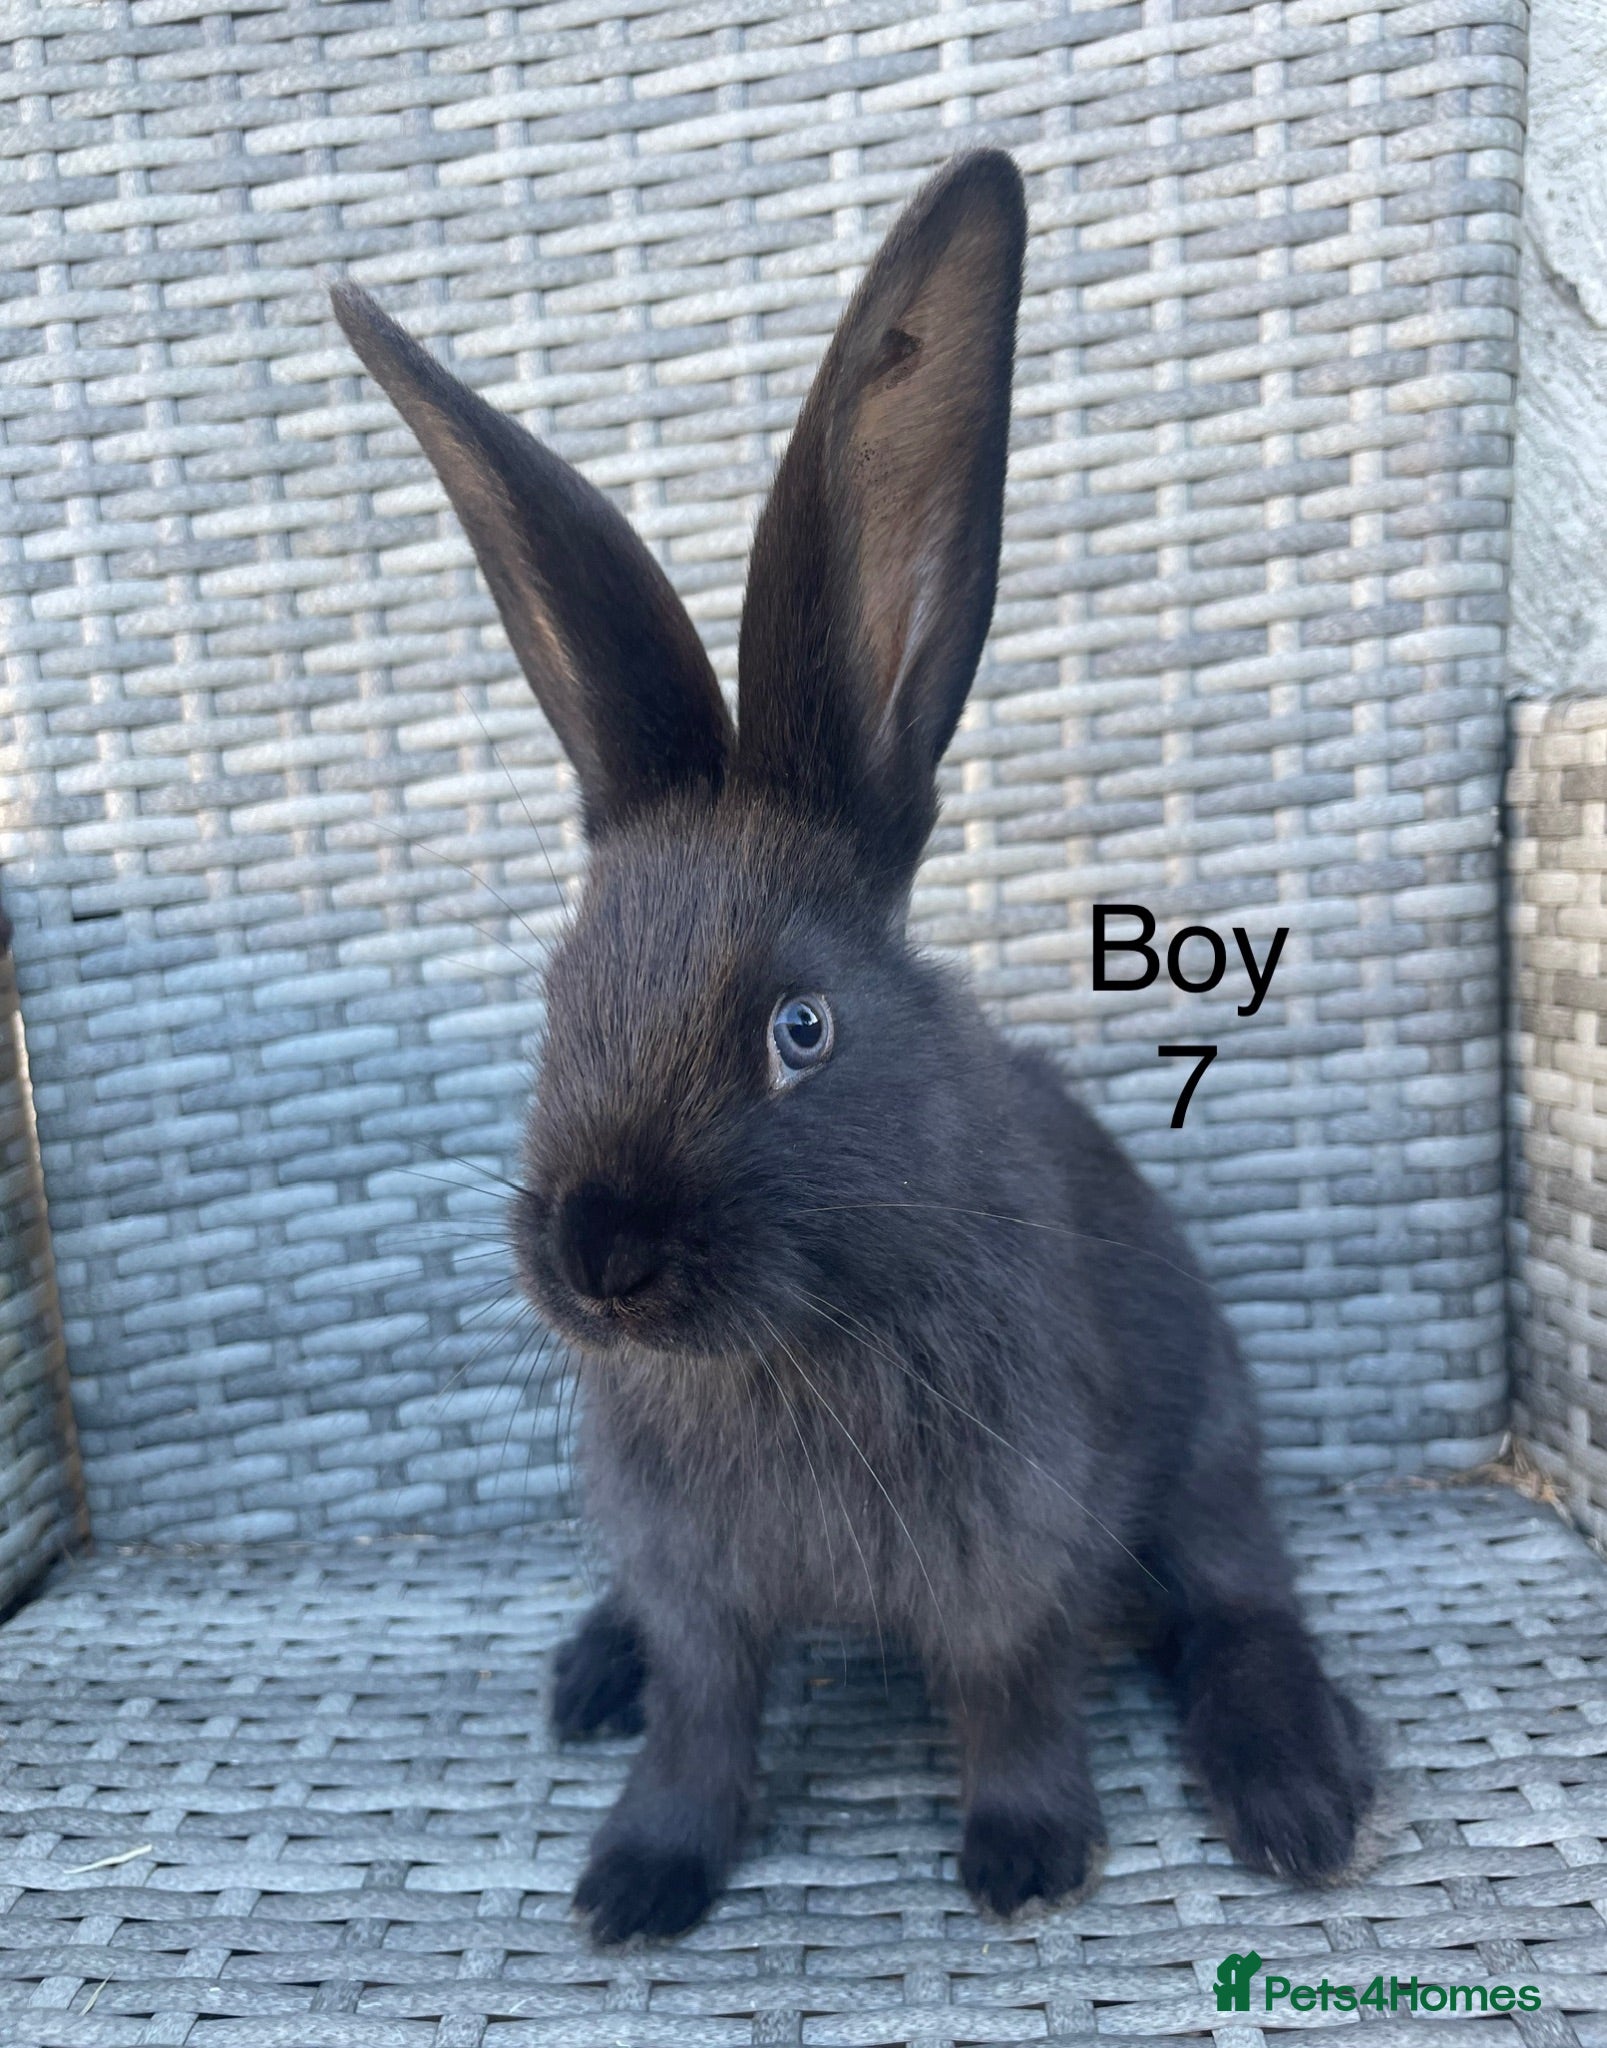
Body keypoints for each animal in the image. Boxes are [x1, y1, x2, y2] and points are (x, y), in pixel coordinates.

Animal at [331, 147, 1377, 1947]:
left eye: (799, 1028)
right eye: (558, 993)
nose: (598, 1256)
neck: (779, 1347)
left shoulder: (1011, 1546)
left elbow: (1010, 1696)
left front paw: (1027, 1861)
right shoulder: (694, 1585)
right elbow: (699, 1717)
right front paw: (637, 1883)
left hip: (1207, 1449)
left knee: (1241, 1605)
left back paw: (1303, 1801)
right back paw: (582, 1676)